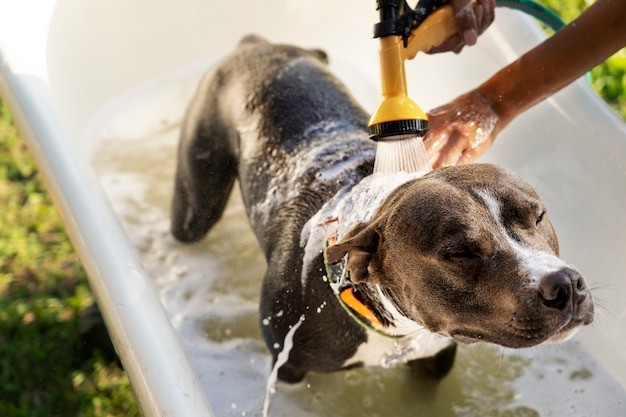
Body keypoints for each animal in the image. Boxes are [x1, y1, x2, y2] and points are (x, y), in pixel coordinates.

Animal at [171, 34, 588, 382]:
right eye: (459, 254)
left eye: (538, 216)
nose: (565, 284)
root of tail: (258, 44)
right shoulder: (287, 369)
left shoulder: (434, 360)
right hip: (196, 201)